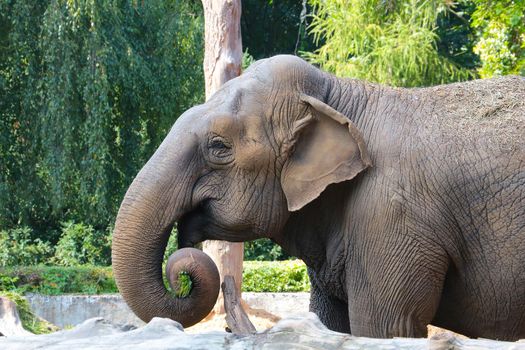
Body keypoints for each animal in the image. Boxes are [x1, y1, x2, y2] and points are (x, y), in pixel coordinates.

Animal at [111, 54, 524, 340]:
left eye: (219, 147)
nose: (182, 269)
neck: (339, 94)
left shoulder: (394, 216)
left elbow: (386, 328)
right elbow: (329, 321)